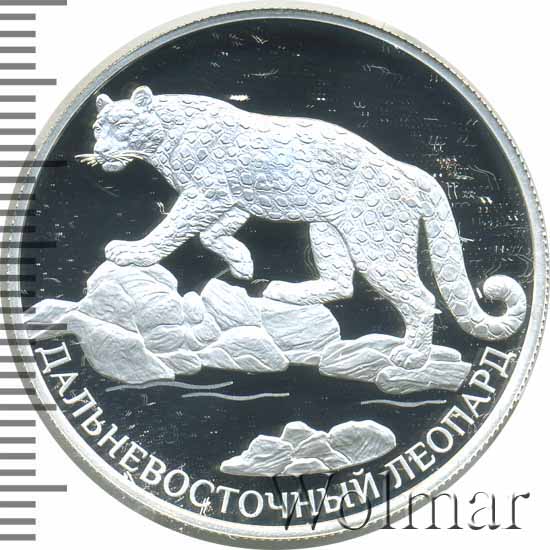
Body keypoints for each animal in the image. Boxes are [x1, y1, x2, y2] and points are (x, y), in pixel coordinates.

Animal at [77, 85, 527, 370]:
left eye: (123, 126)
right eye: (99, 128)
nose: (101, 151)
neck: (165, 140)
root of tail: (410, 170)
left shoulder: (206, 192)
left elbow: (173, 228)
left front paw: (133, 252)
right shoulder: (232, 199)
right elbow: (210, 232)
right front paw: (242, 263)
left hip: (375, 243)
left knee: (419, 297)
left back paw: (412, 358)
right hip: (326, 229)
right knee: (341, 281)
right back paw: (284, 291)